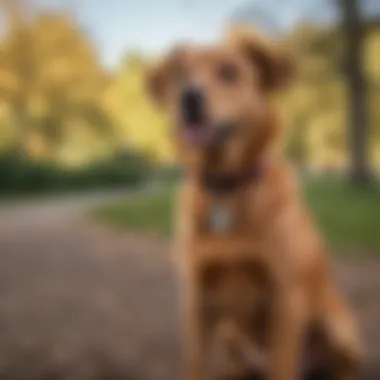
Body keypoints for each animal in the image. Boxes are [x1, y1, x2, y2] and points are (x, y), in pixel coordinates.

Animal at [146, 27, 362, 380]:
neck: (227, 186)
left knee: (340, 367)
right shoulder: (197, 301)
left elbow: (282, 367)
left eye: (229, 72)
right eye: (182, 76)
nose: (188, 98)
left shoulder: (285, 300)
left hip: (338, 330)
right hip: (230, 334)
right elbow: (194, 364)